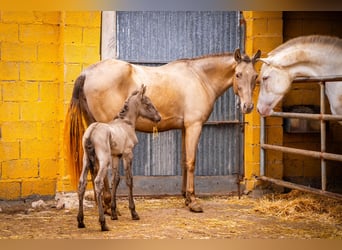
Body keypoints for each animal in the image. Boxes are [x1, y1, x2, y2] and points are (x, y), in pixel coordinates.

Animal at [65, 47, 260, 212]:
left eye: (255, 76)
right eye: (238, 74)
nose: (248, 106)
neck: (200, 77)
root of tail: (87, 73)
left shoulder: (185, 128)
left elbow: (184, 161)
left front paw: (186, 197)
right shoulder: (194, 126)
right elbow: (191, 162)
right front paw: (193, 201)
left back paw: (105, 204)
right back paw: (107, 203)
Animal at [77, 85, 162, 231]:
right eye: (148, 103)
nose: (159, 118)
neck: (126, 123)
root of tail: (92, 131)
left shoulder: (116, 156)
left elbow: (115, 180)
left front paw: (114, 213)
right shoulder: (128, 154)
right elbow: (129, 180)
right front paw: (134, 212)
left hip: (86, 161)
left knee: (82, 183)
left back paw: (81, 221)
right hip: (104, 160)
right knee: (98, 182)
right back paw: (103, 223)